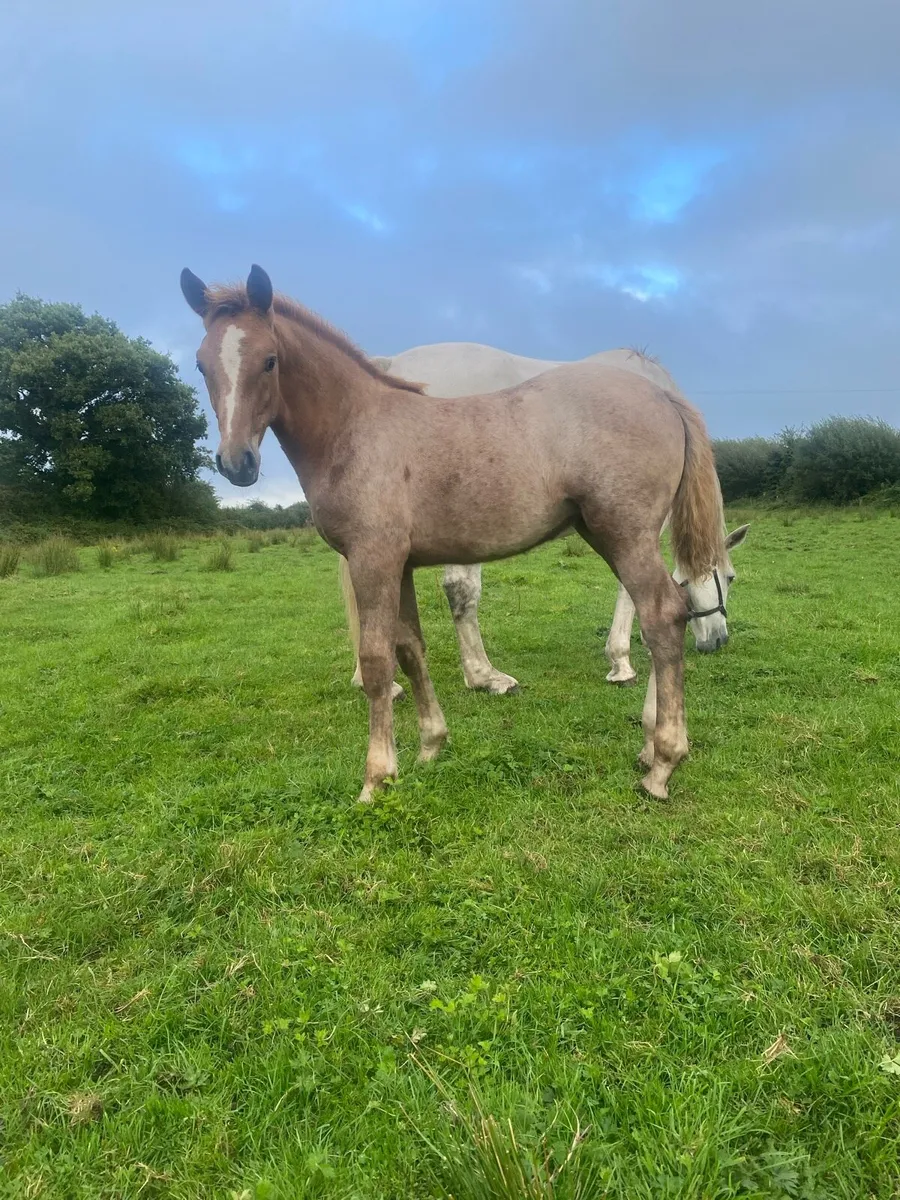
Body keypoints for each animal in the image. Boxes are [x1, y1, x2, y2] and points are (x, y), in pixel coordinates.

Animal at [340, 343, 749, 698]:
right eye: (730, 578)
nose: (719, 641)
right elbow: (629, 589)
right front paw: (621, 663)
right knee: (458, 589)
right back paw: (485, 676)